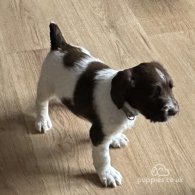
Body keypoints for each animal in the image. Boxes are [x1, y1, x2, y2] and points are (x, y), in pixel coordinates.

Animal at [35, 22, 179, 187]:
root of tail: (61, 46)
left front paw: (116, 138)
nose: (174, 111)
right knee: (41, 103)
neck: (122, 106)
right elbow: (103, 158)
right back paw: (42, 120)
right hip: (46, 85)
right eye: (153, 94)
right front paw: (107, 174)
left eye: (171, 87)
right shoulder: (98, 134)